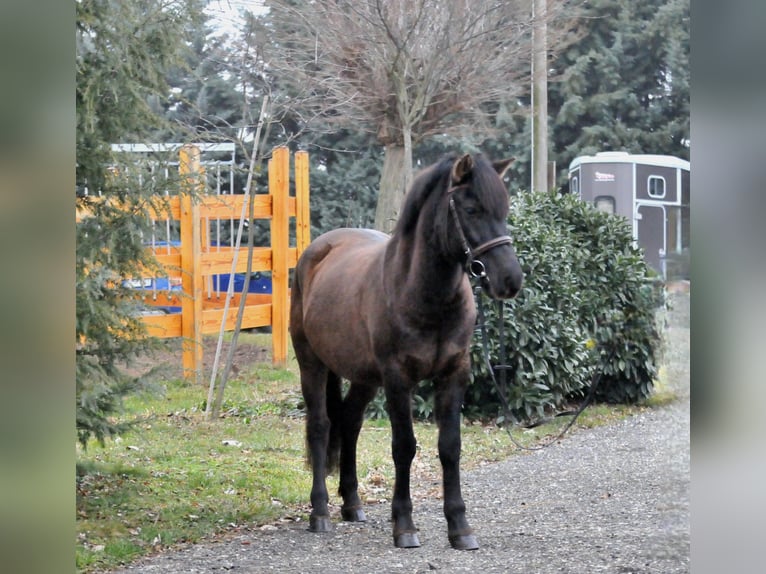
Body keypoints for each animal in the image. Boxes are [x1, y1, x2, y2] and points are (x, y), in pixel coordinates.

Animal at [292, 153, 524, 552]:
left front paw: (459, 527)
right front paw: (404, 525)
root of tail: (317, 251)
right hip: (313, 363)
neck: (424, 294)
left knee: (350, 422)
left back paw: (352, 504)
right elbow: (404, 447)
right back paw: (319, 512)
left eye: (504, 209)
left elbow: (450, 447)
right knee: (321, 426)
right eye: (472, 209)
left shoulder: (453, 375)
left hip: (364, 377)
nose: (511, 280)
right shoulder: (398, 379)